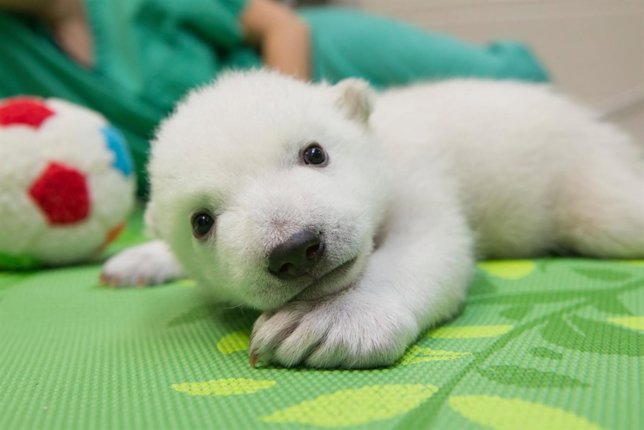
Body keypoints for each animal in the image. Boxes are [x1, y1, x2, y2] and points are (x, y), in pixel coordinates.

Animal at [102, 69, 644, 368]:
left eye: (314, 152)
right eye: (201, 221)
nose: (296, 247)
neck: (382, 135)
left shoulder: (418, 170)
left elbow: (429, 241)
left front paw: (325, 322)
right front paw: (136, 261)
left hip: (577, 176)